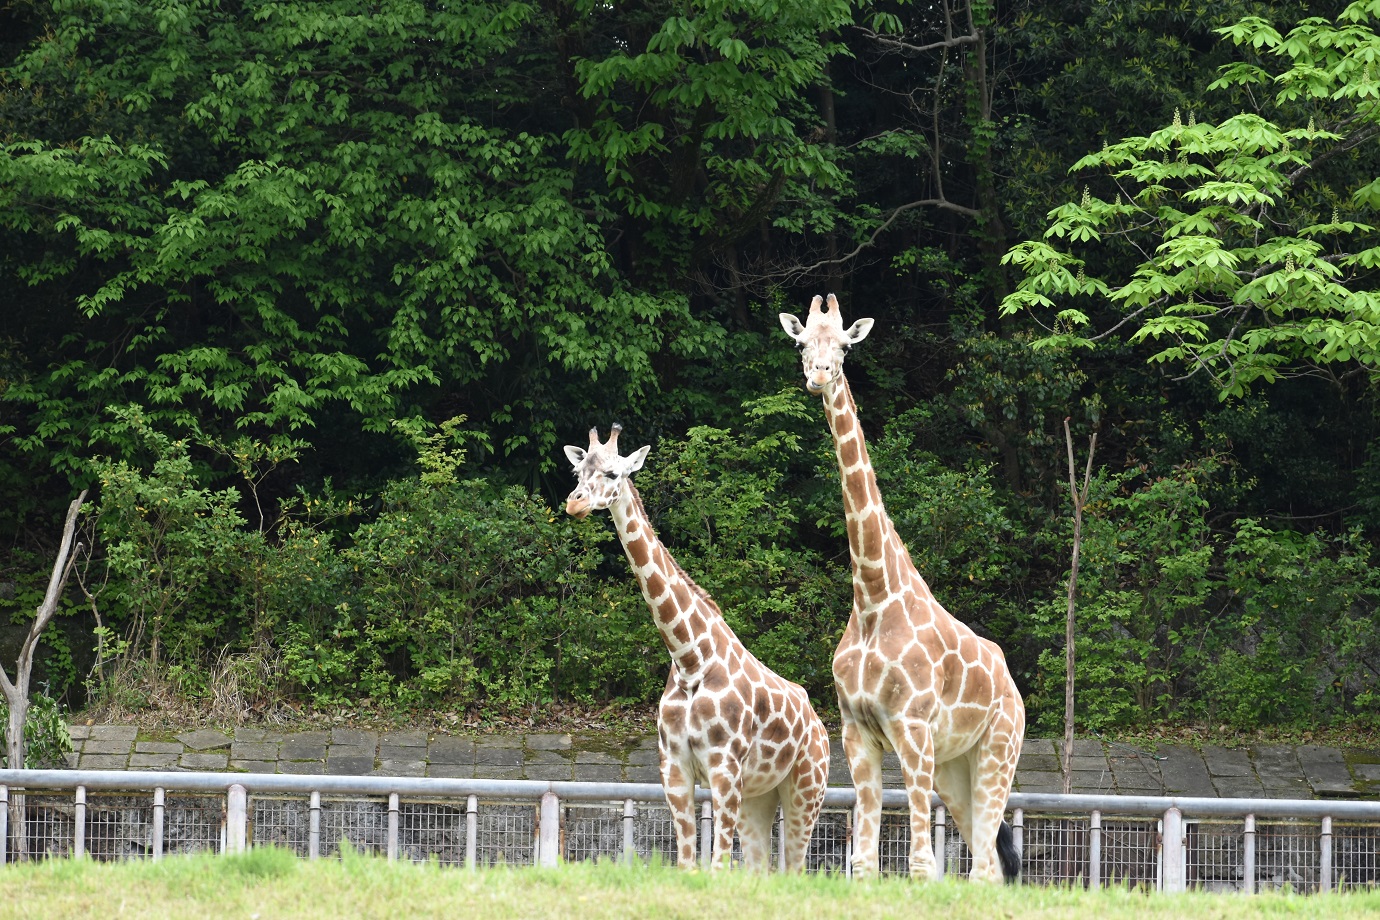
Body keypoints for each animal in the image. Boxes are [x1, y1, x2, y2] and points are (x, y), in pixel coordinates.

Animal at [563, 424, 828, 871]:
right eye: (577, 472)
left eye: (614, 473)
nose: (574, 504)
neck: (690, 659)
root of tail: (822, 726)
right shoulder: (674, 769)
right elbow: (688, 863)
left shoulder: (724, 768)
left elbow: (717, 864)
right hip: (760, 794)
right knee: (760, 867)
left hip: (807, 786)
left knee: (795, 864)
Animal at [778, 296, 1026, 882]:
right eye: (802, 343)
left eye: (844, 347)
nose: (818, 376)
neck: (872, 596)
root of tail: (1014, 688)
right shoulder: (857, 733)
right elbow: (864, 862)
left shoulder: (912, 729)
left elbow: (920, 864)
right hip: (956, 768)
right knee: (989, 862)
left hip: (998, 750)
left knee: (985, 864)